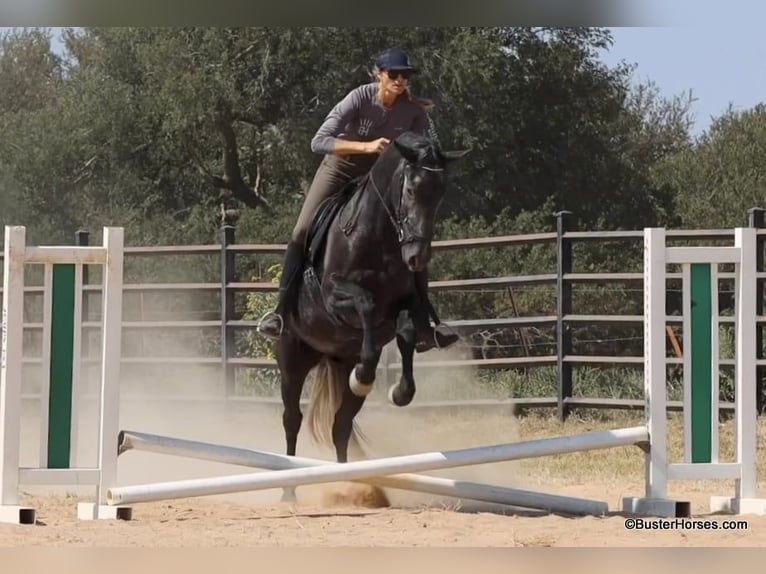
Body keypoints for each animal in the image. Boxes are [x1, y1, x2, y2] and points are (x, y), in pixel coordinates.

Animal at [274, 131, 469, 502]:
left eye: (440, 193)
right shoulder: (334, 295)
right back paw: (288, 492)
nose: (417, 257)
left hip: (339, 364)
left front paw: (400, 392)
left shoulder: (403, 306)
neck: (376, 237)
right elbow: (365, 302)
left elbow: (407, 331)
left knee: (339, 425)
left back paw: (352, 485)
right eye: (411, 190)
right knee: (292, 419)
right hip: (292, 360)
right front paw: (365, 374)